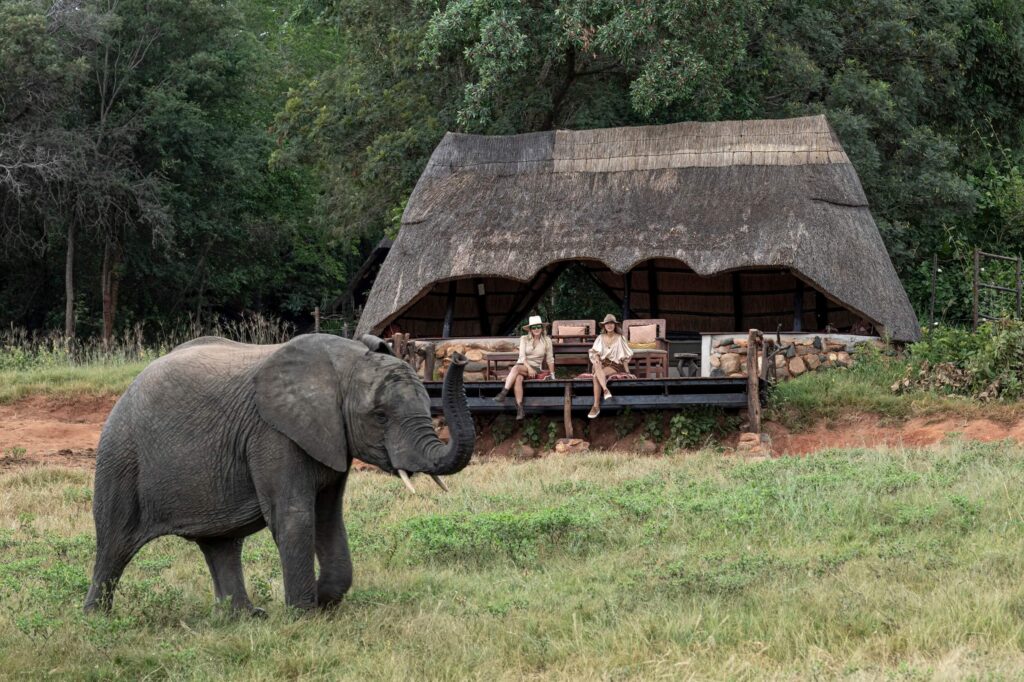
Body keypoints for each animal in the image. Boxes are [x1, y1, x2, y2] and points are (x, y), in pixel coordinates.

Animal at [83, 333, 474, 614]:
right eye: (379, 416)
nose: (459, 357)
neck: (342, 365)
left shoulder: (331, 439)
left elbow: (328, 517)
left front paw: (323, 599)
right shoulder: (273, 434)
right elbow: (295, 516)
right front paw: (303, 614)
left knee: (221, 544)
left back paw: (245, 617)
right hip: (121, 457)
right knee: (115, 543)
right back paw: (98, 620)